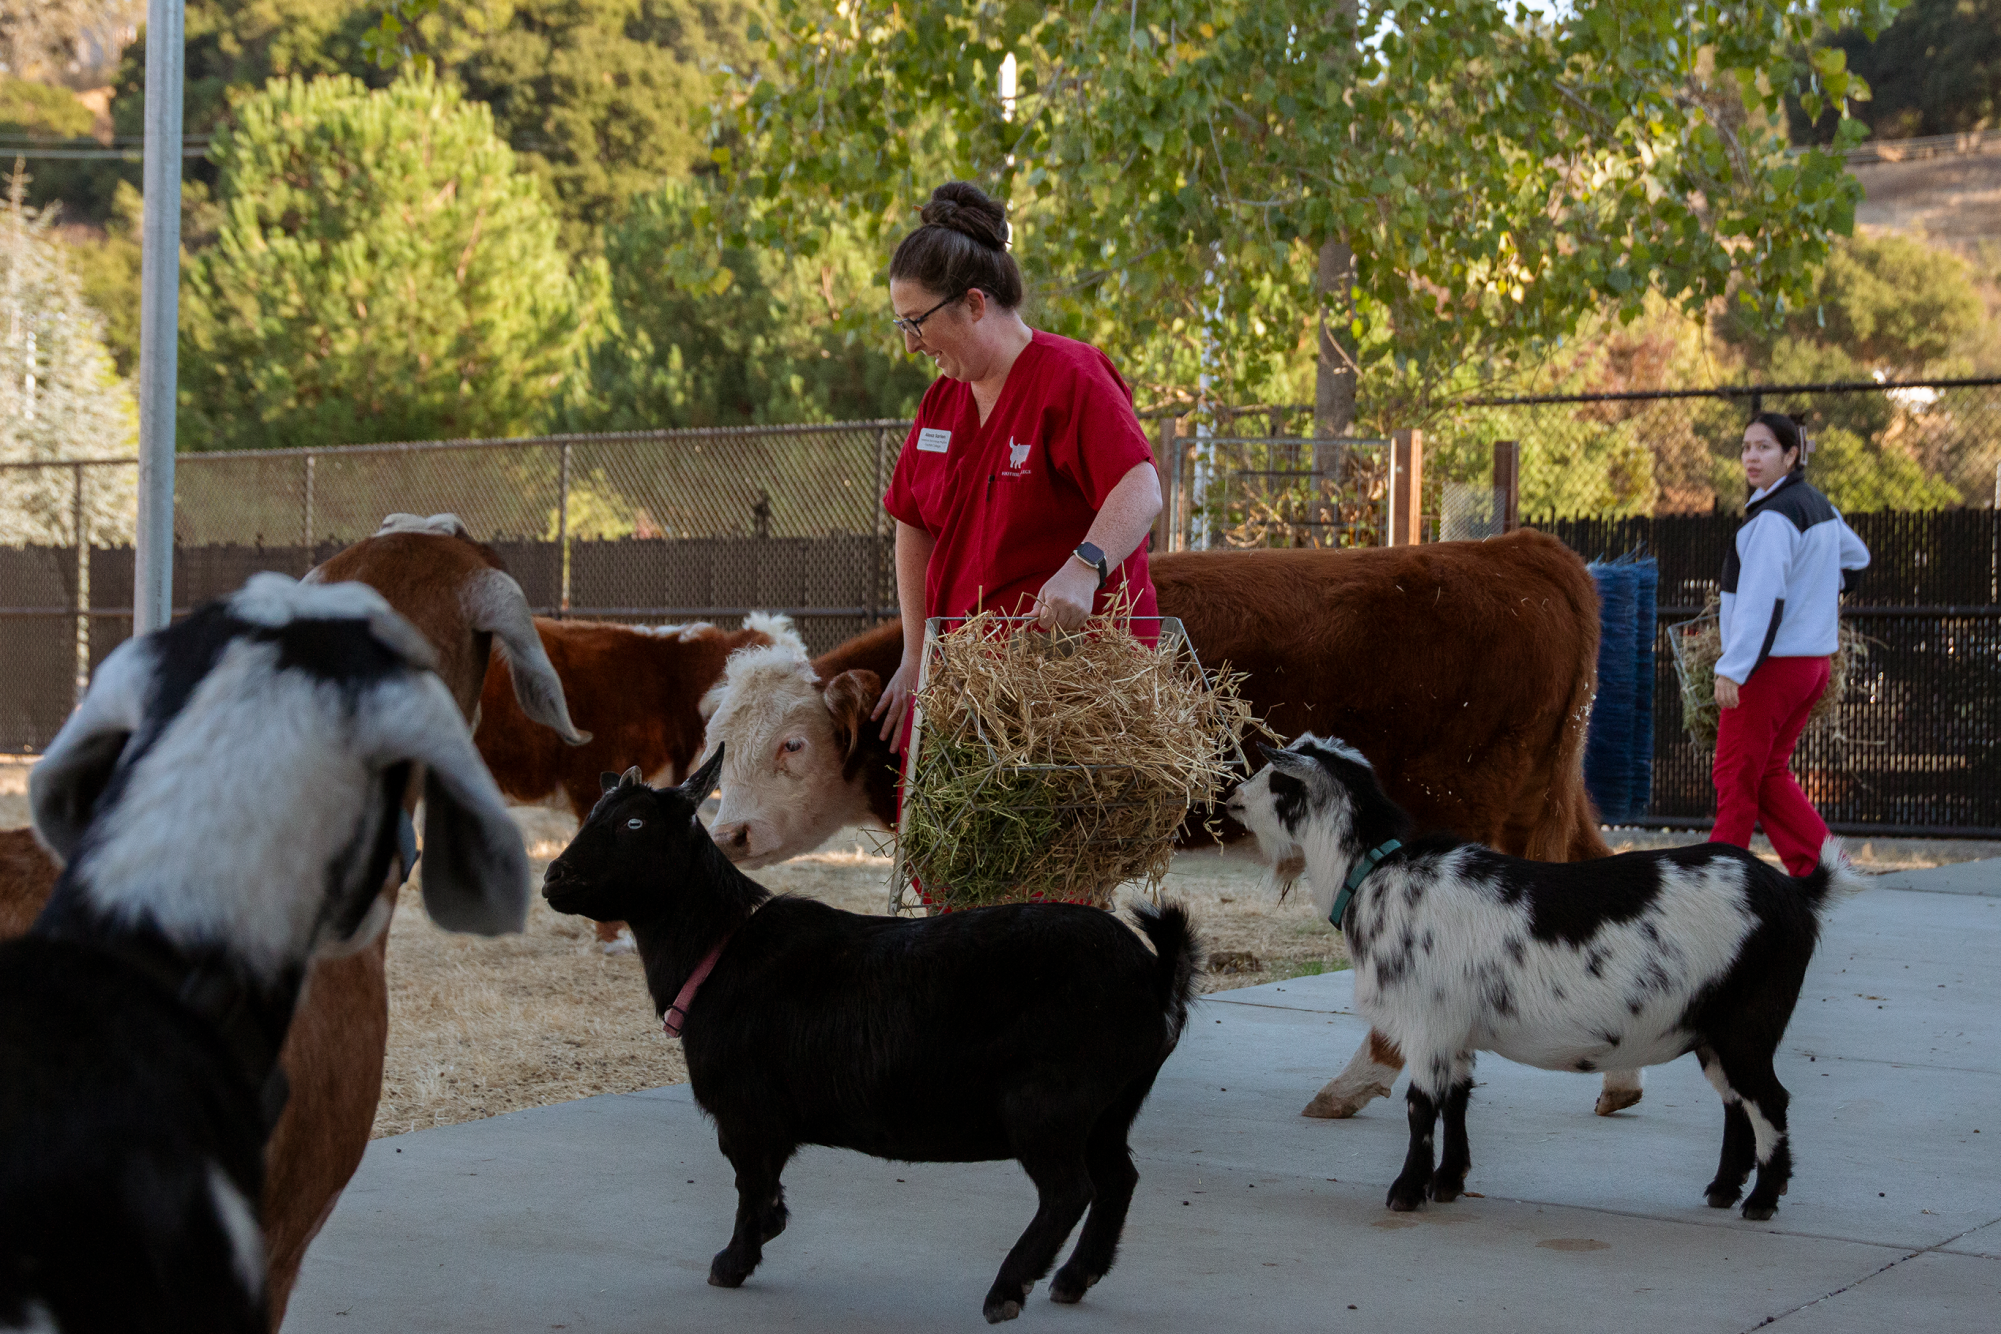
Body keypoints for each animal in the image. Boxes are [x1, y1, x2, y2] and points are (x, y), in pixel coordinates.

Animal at [548, 752, 1192, 1328]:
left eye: (634, 823)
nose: (556, 878)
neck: (720, 949)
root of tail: (1155, 972)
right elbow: (766, 1190)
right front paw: (762, 1236)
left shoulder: (746, 1113)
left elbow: (750, 1185)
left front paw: (732, 1263)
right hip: (1110, 1107)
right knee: (1117, 1180)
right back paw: (1073, 1279)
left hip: (1049, 1103)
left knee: (1068, 1191)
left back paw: (1008, 1290)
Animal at [696, 528, 1632, 1120]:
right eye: (721, 742)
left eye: (791, 745)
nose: (728, 835)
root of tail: (1517, 550)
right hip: (1550, 799)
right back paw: (1619, 1080)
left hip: (1458, 817)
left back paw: (1356, 1079)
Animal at [1224, 736, 1864, 1224]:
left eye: (1274, 780)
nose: (1229, 798)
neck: (1376, 873)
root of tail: (1795, 892)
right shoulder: (1456, 1033)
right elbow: (1457, 1099)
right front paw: (1448, 1183)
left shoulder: (1428, 1022)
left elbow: (1421, 1106)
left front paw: (1406, 1193)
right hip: (1713, 1029)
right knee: (1736, 1102)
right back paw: (1723, 1191)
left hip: (1748, 1022)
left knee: (1768, 1100)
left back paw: (1761, 1201)